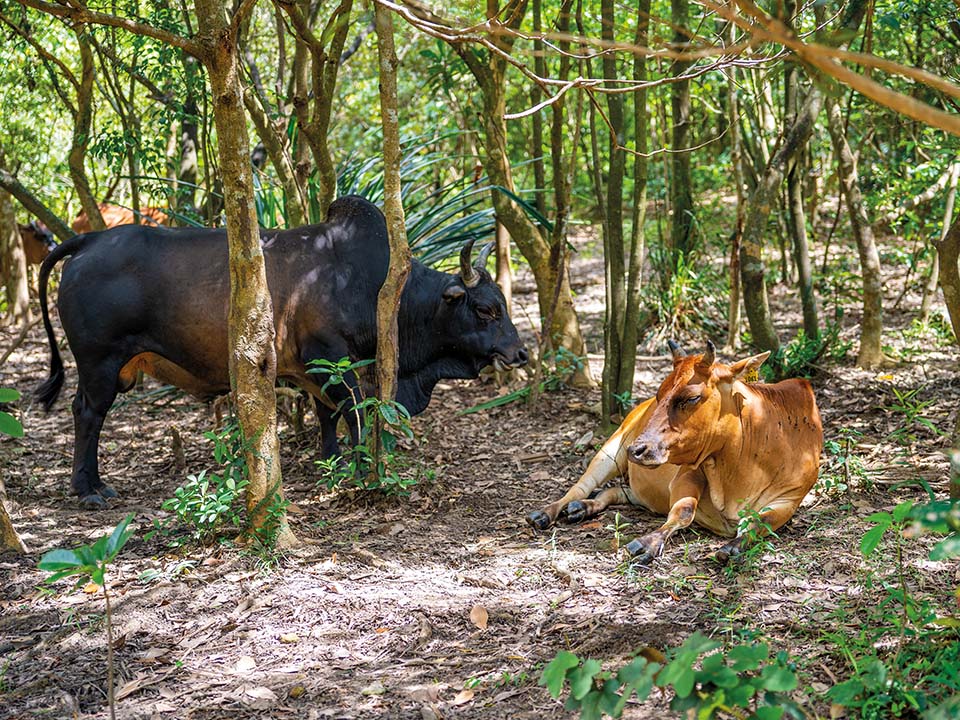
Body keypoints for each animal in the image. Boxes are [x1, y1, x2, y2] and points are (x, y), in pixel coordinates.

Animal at [37, 197, 528, 510]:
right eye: (485, 309)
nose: (520, 352)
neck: (371, 282)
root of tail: (90, 241)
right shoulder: (330, 358)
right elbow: (353, 412)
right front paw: (359, 467)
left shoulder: (311, 369)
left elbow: (327, 414)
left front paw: (332, 461)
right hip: (100, 362)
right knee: (87, 413)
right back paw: (89, 489)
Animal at [524, 340, 824, 564]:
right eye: (659, 393)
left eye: (691, 397)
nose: (637, 450)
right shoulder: (686, 474)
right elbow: (683, 510)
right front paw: (647, 543)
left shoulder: (789, 500)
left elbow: (760, 524)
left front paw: (734, 546)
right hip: (610, 449)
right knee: (580, 487)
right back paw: (550, 512)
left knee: (618, 492)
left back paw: (585, 507)